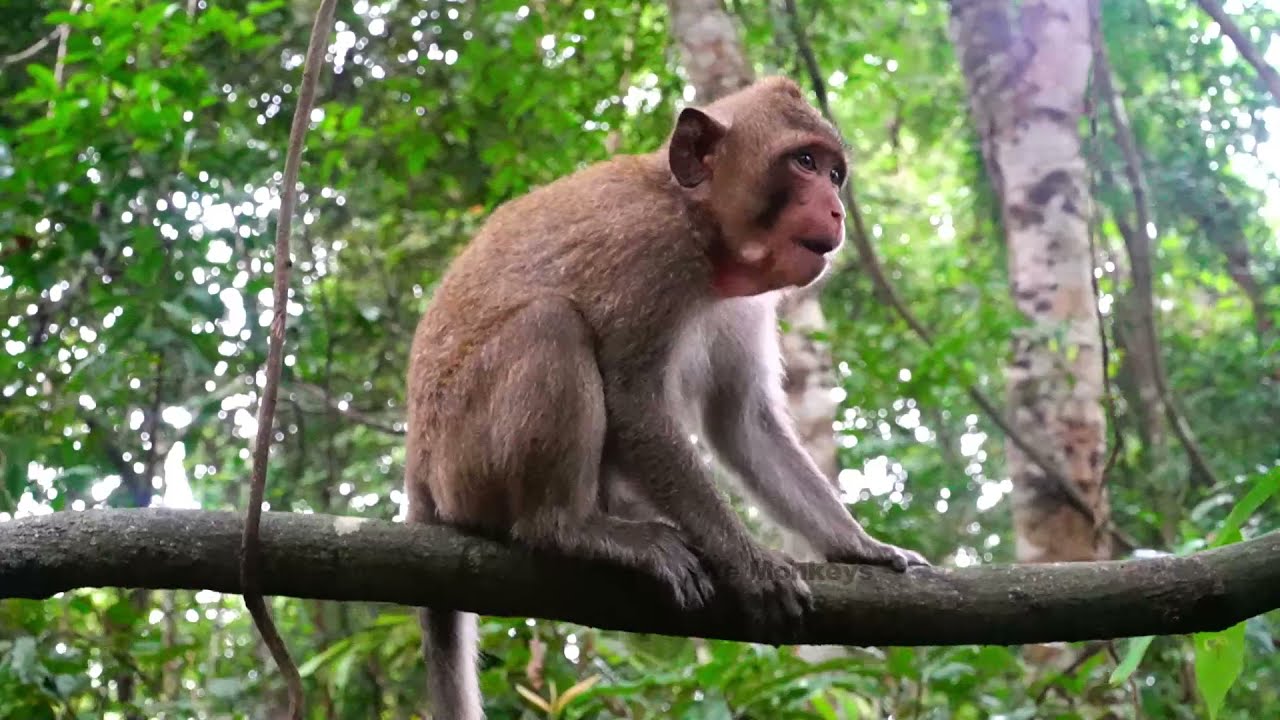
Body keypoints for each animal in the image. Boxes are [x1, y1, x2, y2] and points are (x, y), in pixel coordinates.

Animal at [404, 76, 928, 719]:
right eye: (804, 162)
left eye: (834, 173)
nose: (836, 209)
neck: (700, 228)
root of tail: (419, 476)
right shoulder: (650, 254)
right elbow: (634, 403)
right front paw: (750, 564)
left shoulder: (747, 301)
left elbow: (741, 422)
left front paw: (859, 546)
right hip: (467, 462)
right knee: (552, 323)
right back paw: (570, 527)